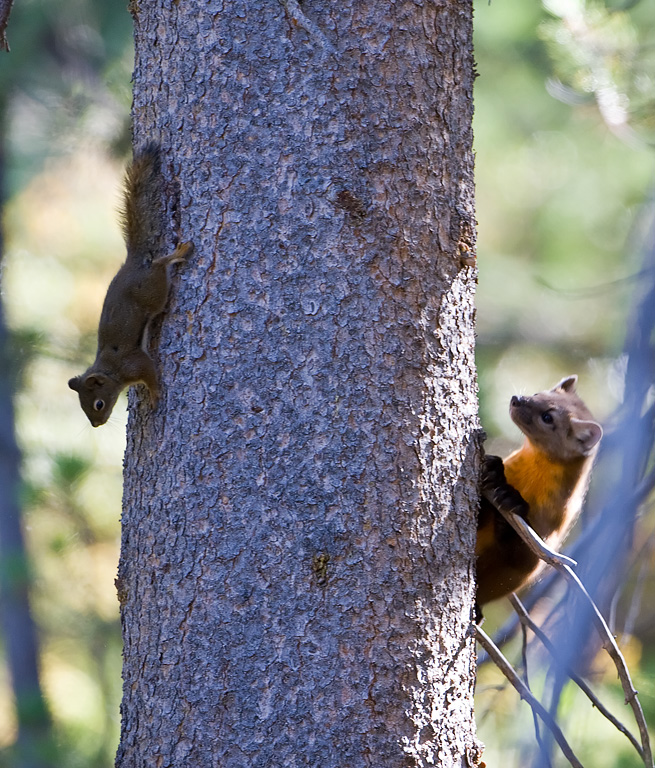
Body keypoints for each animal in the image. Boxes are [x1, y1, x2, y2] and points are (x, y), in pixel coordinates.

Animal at [69, 144, 193, 426]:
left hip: (152, 290)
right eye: (82, 406)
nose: (96, 424)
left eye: (98, 403)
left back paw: (179, 252)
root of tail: (132, 262)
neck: (112, 371)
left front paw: (155, 395)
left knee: (159, 265)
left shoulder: (133, 363)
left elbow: (150, 373)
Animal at [474, 376, 604, 612]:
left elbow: (523, 558)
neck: (527, 483)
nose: (516, 398)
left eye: (547, 417)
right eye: (538, 394)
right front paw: (493, 469)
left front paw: (511, 500)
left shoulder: (549, 532)